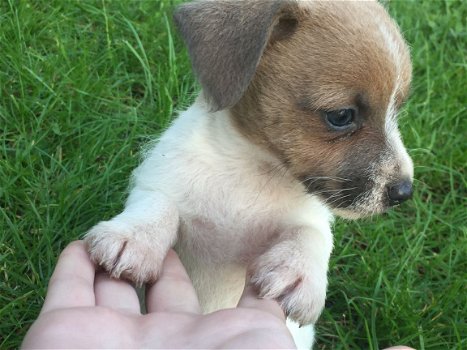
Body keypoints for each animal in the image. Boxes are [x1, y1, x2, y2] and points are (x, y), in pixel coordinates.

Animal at [84, 0, 414, 348]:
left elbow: (312, 234)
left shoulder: (309, 217)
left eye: (397, 109)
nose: (404, 192)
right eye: (341, 116)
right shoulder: (161, 177)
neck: (252, 171)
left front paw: (298, 271)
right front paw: (134, 237)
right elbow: (158, 204)